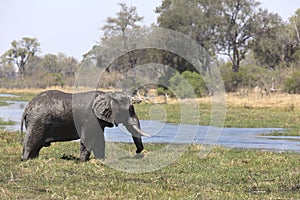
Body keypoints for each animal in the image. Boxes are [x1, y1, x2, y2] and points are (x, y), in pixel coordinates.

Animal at [20, 90, 149, 162]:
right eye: (130, 110)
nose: (137, 152)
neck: (107, 95)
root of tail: (27, 107)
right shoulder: (90, 118)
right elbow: (88, 138)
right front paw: (82, 161)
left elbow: (99, 139)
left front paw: (101, 160)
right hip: (37, 121)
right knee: (31, 142)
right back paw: (26, 160)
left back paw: (33, 159)